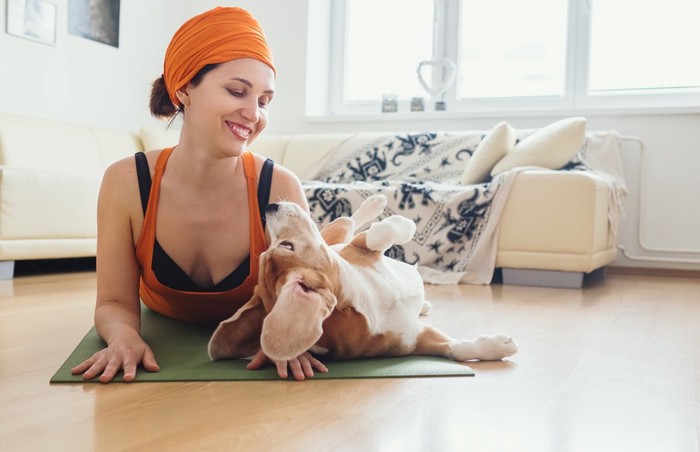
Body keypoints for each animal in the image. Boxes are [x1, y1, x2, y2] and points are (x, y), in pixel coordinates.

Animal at [205, 196, 516, 366]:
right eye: (287, 245)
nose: (269, 206)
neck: (369, 301)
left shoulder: (354, 248)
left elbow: (377, 234)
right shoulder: (414, 340)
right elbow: (456, 350)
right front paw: (501, 345)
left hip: (339, 235)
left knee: (350, 220)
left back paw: (375, 202)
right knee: (351, 221)